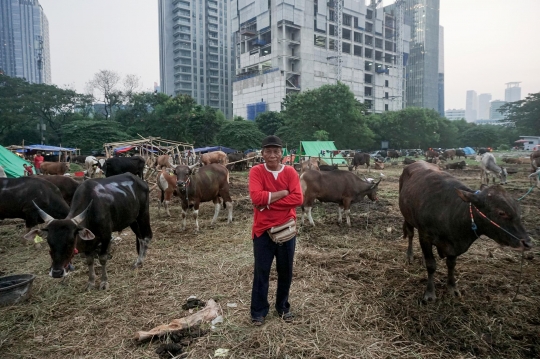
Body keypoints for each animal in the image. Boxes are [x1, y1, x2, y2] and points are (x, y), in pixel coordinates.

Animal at [23, 175, 152, 292]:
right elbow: (89, 261)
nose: (56, 272)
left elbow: (103, 259)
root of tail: (140, 180)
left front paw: (104, 282)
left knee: (146, 237)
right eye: (49, 242)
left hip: (143, 215)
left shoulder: (106, 237)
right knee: (140, 238)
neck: (91, 212)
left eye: (71, 241)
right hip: (132, 220)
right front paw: (91, 282)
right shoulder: (89, 244)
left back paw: (139, 262)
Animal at [398, 162, 528, 302]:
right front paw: (430, 293)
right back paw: (410, 255)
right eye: (501, 212)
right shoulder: (425, 236)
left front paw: (452, 287)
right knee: (411, 235)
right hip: (407, 218)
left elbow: (451, 264)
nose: (527, 242)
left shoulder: (453, 246)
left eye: (518, 210)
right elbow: (431, 265)